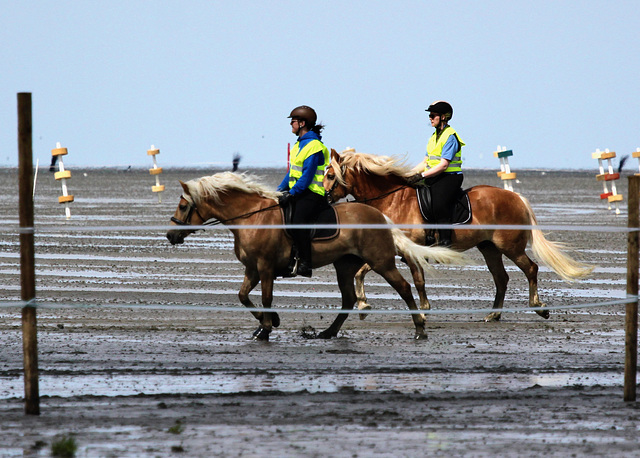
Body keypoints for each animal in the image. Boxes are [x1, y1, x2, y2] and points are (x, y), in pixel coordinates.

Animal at [168, 172, 468, 340]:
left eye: (183, 205)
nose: (170, 235)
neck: (252, 218)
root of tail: (379, 215)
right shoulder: (252, 269)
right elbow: (243, 297)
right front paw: (271, 321)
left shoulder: (265, 268)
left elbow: (265, 298)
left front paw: (265, 329)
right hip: (345, 266)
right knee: (348, 299)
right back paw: (328, 332)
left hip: (381, 261)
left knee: (404, 288)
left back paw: (420, 328)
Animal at [324, 148, 596, 320]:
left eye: (330, 175)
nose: (324, 199)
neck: (393, 200)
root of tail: (515, 196)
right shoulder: (396, 251)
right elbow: (360, 272)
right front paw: (363, 303)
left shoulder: (411, 252)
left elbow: (418, 281)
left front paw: (423, 310)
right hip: (489, 248)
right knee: (502, 278)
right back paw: (494, 314)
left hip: (510, 246)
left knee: (531, 269)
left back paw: (538, 307)